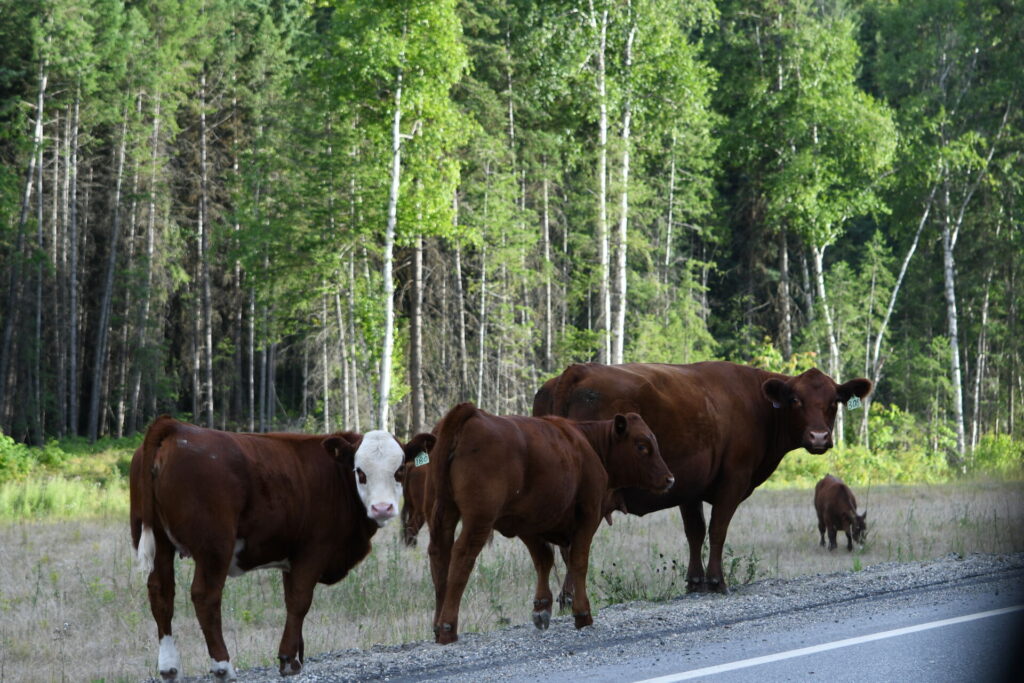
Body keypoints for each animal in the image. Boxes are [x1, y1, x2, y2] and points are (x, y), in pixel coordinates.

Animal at [129, 416, 435, 680]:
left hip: (159, 543)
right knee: (205, 597)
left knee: (161, 594)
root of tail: (175, 427)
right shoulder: (313, 549)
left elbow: (291, 600)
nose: (382, 508)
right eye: (360, 472)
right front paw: (288, 659)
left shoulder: (293, 556)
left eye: (400, 470)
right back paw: (222, 666)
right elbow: (300, 601)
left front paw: (296, 657)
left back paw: (169, 667)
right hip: (214, 547)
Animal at [426, 402, 674, 644]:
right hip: (478, 520)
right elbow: (578, 561)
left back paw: (437, 626)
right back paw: (448, 627)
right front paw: (582, 613)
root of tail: (471, 413)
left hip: (444, 514)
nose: (669, 479)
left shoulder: (528, 523)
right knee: (461, 556)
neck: (589, 444)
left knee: (440, 556)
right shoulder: (587, 515)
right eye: (642, 446)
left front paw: (541, 608)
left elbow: (544, 560)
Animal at [533, 361, 871, 594]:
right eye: (796, 400)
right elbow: (717, 530)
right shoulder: (733, 480)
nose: (818, 437)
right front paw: (717, 581)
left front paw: (695, 581)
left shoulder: (687, 485)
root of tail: (576, 371)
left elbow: (695, 532)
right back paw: (570, 597)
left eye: (833, 402)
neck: (755, 404)